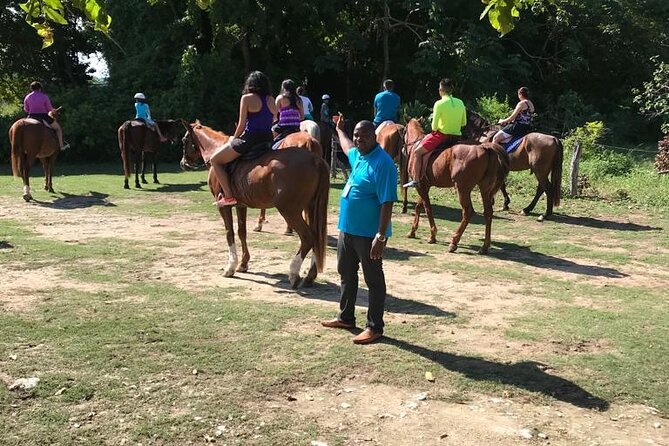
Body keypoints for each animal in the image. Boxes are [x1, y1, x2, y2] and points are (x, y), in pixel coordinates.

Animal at [180, 123, 328, 290]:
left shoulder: (223, 207)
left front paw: (230, 267)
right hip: (311, 207)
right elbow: (241, 232)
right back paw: (310, 276)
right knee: (317, 237)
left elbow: (229, 233)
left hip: (290, 211)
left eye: (184, 140)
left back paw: (293, 273)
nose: (183, 163)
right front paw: (243, 264)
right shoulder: (240, 205)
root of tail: (315, 159)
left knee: (308, 237)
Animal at [404, 117, 508, 254]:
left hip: (462, 189)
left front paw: (432, 235)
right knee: (488, 213)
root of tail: (486, 148)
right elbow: (419, 207)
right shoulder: (424, 186)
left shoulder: (420, 186)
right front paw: (412, 231)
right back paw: (484, 246)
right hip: (484, 189)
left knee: (468, 212)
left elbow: (427, 208)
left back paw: (454, 242)